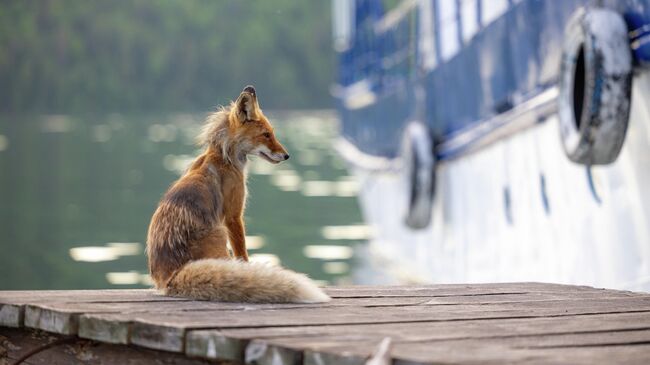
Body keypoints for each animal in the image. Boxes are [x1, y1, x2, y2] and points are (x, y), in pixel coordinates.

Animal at [146, 85, 330, 302]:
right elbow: (242, 253)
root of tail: (169, 278)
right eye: (266, 135)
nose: (286, 156)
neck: (223, 157)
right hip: (220, 233)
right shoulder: (233, 216)